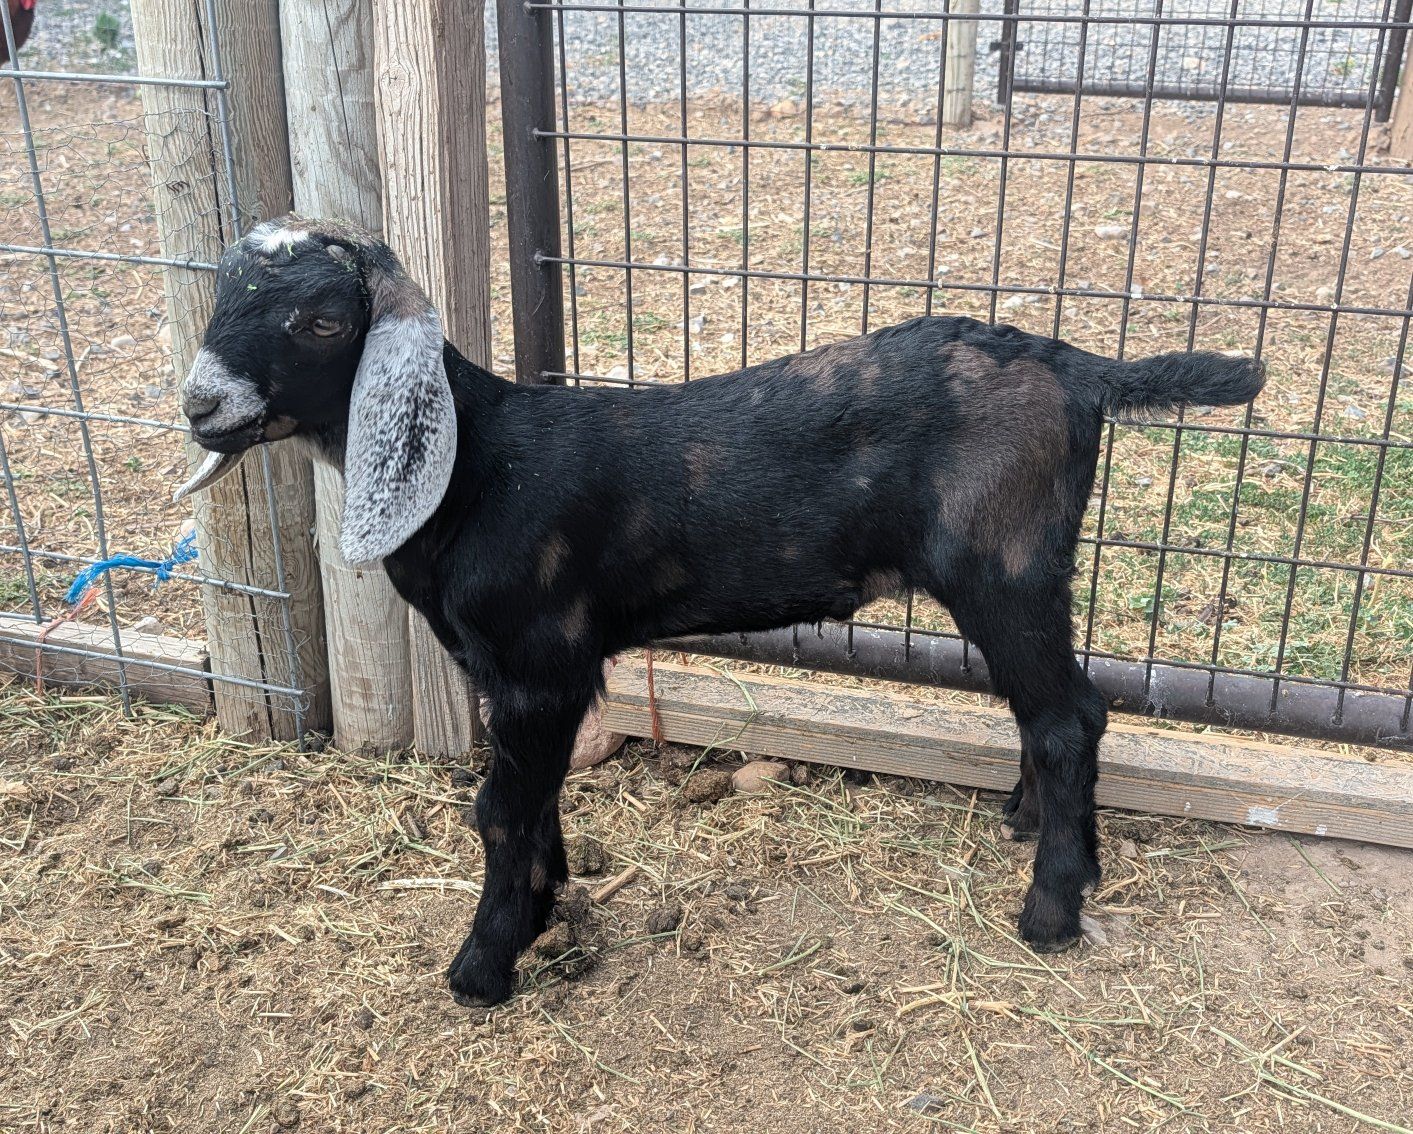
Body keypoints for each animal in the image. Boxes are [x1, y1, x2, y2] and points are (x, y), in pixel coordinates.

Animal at [176, 215, 1265, 1006]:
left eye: (322, 321)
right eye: (219, 296)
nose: (200, 403)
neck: (479, 467)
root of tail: (1082, 370)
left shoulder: (541, 662)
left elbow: (499, 810)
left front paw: (483, 967)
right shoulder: (509, 675)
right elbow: (534, 801)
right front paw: (544, 906)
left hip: (1003, 564)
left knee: (1070, 715)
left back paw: (1051, 909)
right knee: (1046, 714)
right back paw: (1027, 827)